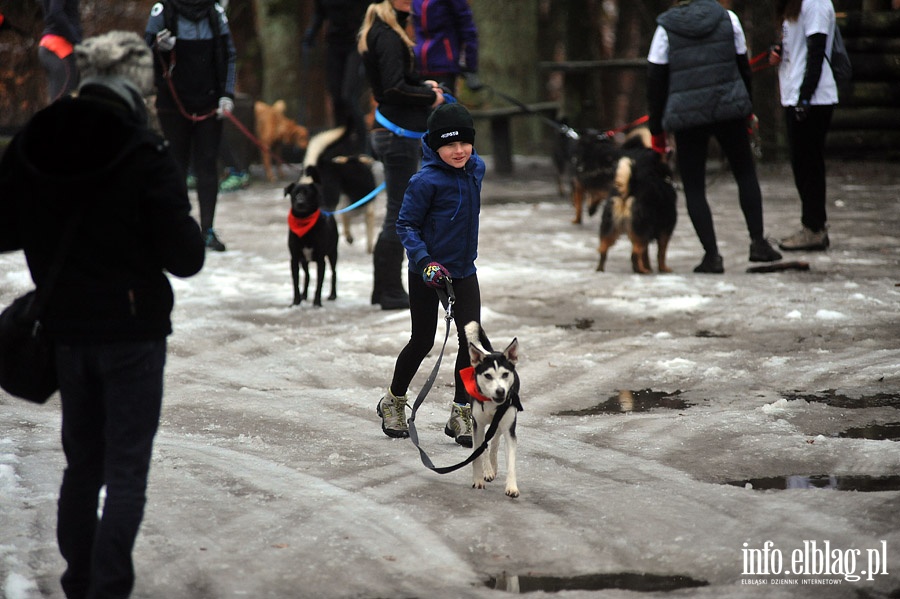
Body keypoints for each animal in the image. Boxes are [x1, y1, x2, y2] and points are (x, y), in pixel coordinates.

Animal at [284, 166, 338, 308]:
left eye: (307, 193)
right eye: (294, 193)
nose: (300, 202)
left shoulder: (321, 260)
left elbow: (319, 284)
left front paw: (317, 303)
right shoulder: (294, 259)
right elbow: (296, 283)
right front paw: (296, 302)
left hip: (333, 253)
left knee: (334, 273)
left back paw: (333, 295)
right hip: (304, 261)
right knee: (307, 276)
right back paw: (304, 295)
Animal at [464, 324, 520, 496]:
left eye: (505, 374)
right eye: (488, 376)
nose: (500, 391)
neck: (491, 402)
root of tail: (490, 352)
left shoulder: (508, 427)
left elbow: (511, 461)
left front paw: (512, 487)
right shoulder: (477, 425)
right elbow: (478, 453)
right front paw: (478, 479)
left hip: (500, 423)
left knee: (494, 441)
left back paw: (492, 466)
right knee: (484, 446)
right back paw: (488, 470)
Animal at [596, 139, 676, 274]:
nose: (669, 148)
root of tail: (627, 191)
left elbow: (645, 255)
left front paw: (648, 266)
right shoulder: (665, 231)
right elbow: (661, 253)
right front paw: (663, 268)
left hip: (611, 228)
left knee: (603, 249)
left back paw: (600, 269)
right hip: (642, 229)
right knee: (634, 254)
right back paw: (641, 271)